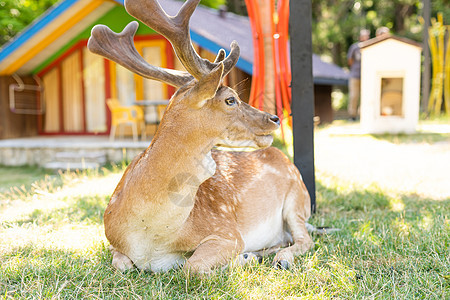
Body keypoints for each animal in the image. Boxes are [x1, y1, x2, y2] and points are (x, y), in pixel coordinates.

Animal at [88, 0, 312, 274]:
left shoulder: (227, 231)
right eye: (230, 99)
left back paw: (279, 258)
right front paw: (247, 257)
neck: (149, 237)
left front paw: (242, 259)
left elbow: (190, 267)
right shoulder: (112, 241)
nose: (274, 118)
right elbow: (123, 265)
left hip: (298, 199)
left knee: (304, 239)